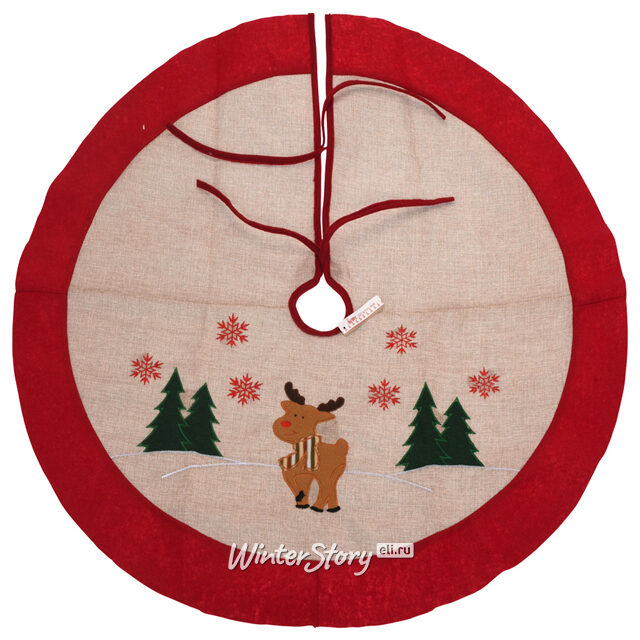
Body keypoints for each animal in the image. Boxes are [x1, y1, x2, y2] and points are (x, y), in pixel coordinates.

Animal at [272, 382, 348, 512]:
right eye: (293, 413)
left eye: (302, 417)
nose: (284, 423)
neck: (303, 446)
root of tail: (340, 447)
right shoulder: (303, 474)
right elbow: (296, 483)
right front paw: (301, 502)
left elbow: (291, 479)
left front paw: (300, 496)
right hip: (336, 472)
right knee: (333, 488)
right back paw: (333, 508)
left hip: (325, 474)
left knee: (326, 488)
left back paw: (317, 507)